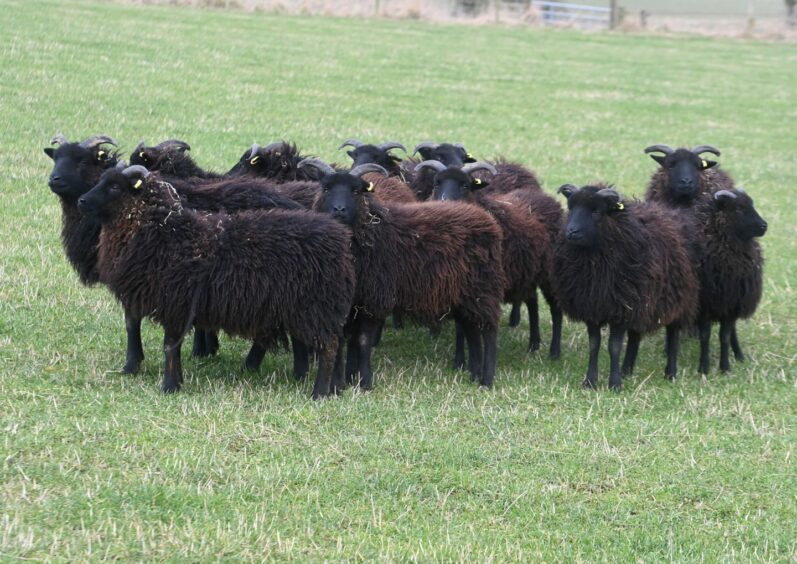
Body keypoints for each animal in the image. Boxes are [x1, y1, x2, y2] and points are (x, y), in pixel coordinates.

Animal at [78, 165, 358, 398]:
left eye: (115, 186)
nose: (81, 200)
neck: (165, 232)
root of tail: (340, 238)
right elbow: (169, 345)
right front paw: (176, 381)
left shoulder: (176, 303)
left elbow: (169, 346)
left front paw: (169, 386)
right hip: (322, 308)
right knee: (337, 344)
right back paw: (335, 387)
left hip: (315, 306)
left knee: (329, 346)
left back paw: (319, 392)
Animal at [298, 156, 504, 390]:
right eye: (326, 188)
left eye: (356, 190)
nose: (339, 210)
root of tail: (487, 220)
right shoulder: (350, 303)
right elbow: (345, 341)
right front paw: (344, 382)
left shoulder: (375, 299)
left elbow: (362, 341)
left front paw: (364, 382)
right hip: (463, 296)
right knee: (472, 331)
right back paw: (474, 375)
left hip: (483, 289)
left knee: (489, 331)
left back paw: (486, 380)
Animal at [414, 159, 564, 362]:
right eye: (437, 183)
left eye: (465, 185)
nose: (446, 204)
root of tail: (551, 201)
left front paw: (460, 361)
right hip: (527, 273)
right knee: (532, 302)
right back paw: (534, 344)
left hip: (549, 274)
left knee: (556, 309)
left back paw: (554, 352)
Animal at [552, 183, 700, 390]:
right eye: (570, 208)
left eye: (596, 211)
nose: (571, 232)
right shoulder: (593, 307)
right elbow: (594, 345)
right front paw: (590, 381)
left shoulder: (620, 309)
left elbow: (614, 347)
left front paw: (614, 384)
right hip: (642, 301)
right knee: (635, 335)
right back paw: (627, 369)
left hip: (679, 299)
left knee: (673, 336)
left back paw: (670, 372)